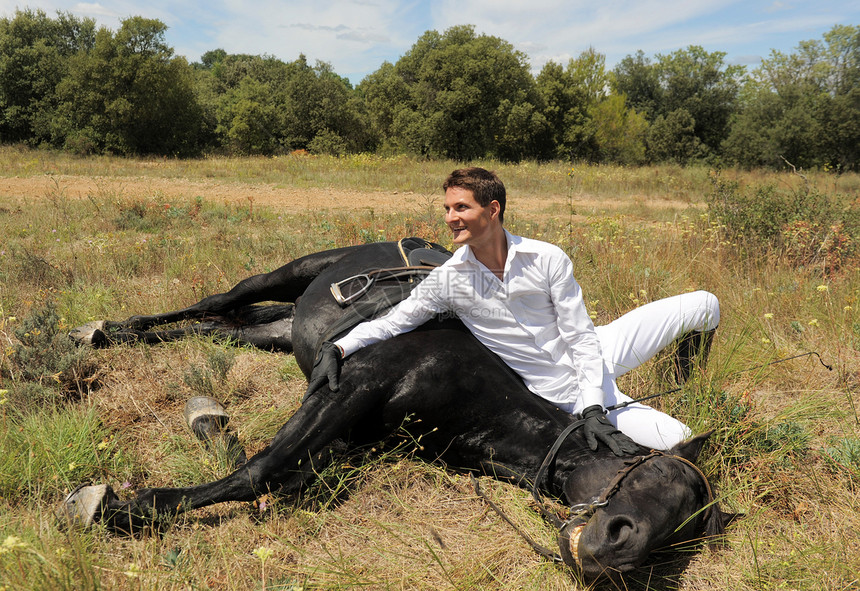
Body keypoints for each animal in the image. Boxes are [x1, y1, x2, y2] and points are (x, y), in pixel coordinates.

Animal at [63, 239, 732, 580]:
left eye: (680, 533)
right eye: (653, 472)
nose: (615, 551)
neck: (473, 389)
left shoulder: (351, 439)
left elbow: (288, 476)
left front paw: (203, 425)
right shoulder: (346, 388)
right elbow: (258, 472)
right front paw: (114, 506)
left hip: (278, 331)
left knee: (222, 327)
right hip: (282, 277)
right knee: (212, 304)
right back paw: (96, 331)